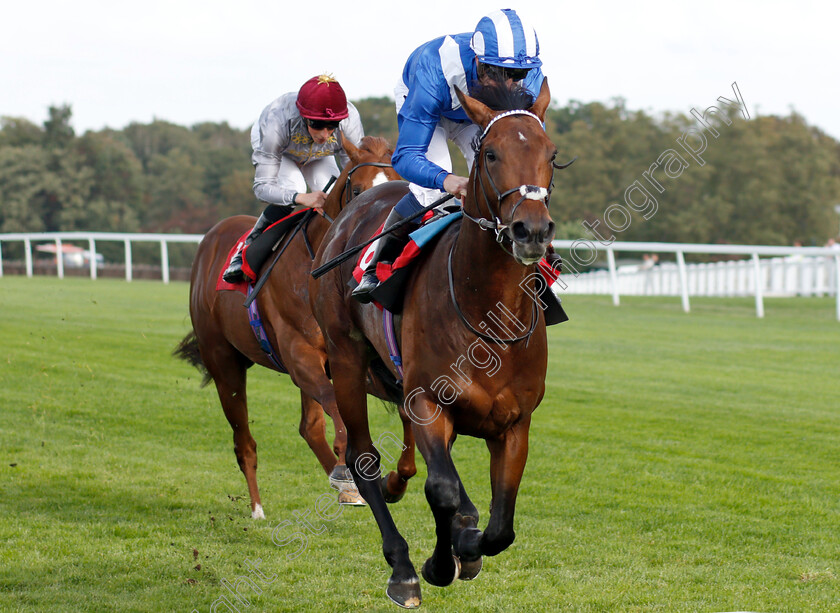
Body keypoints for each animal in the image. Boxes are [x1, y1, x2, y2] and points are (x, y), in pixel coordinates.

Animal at [173, 136, 400, 520]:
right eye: (357, 189)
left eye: (400, 184)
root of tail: (212, 237)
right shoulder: (299, 356)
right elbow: (335, 406)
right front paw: (349, 469)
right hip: (223, 361)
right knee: (244, 441)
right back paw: (257, 508)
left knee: (309, 427)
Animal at [308, 82, 556, 608]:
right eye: (490, 152)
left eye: (552, 155)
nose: (531, 230)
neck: (486, 311)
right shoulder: (428, 401)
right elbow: (442, 491)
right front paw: (439, 563)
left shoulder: (515, 422)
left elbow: (500, 527)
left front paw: (469, 545)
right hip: (346, 357)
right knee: (362, 460)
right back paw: (401, 565)